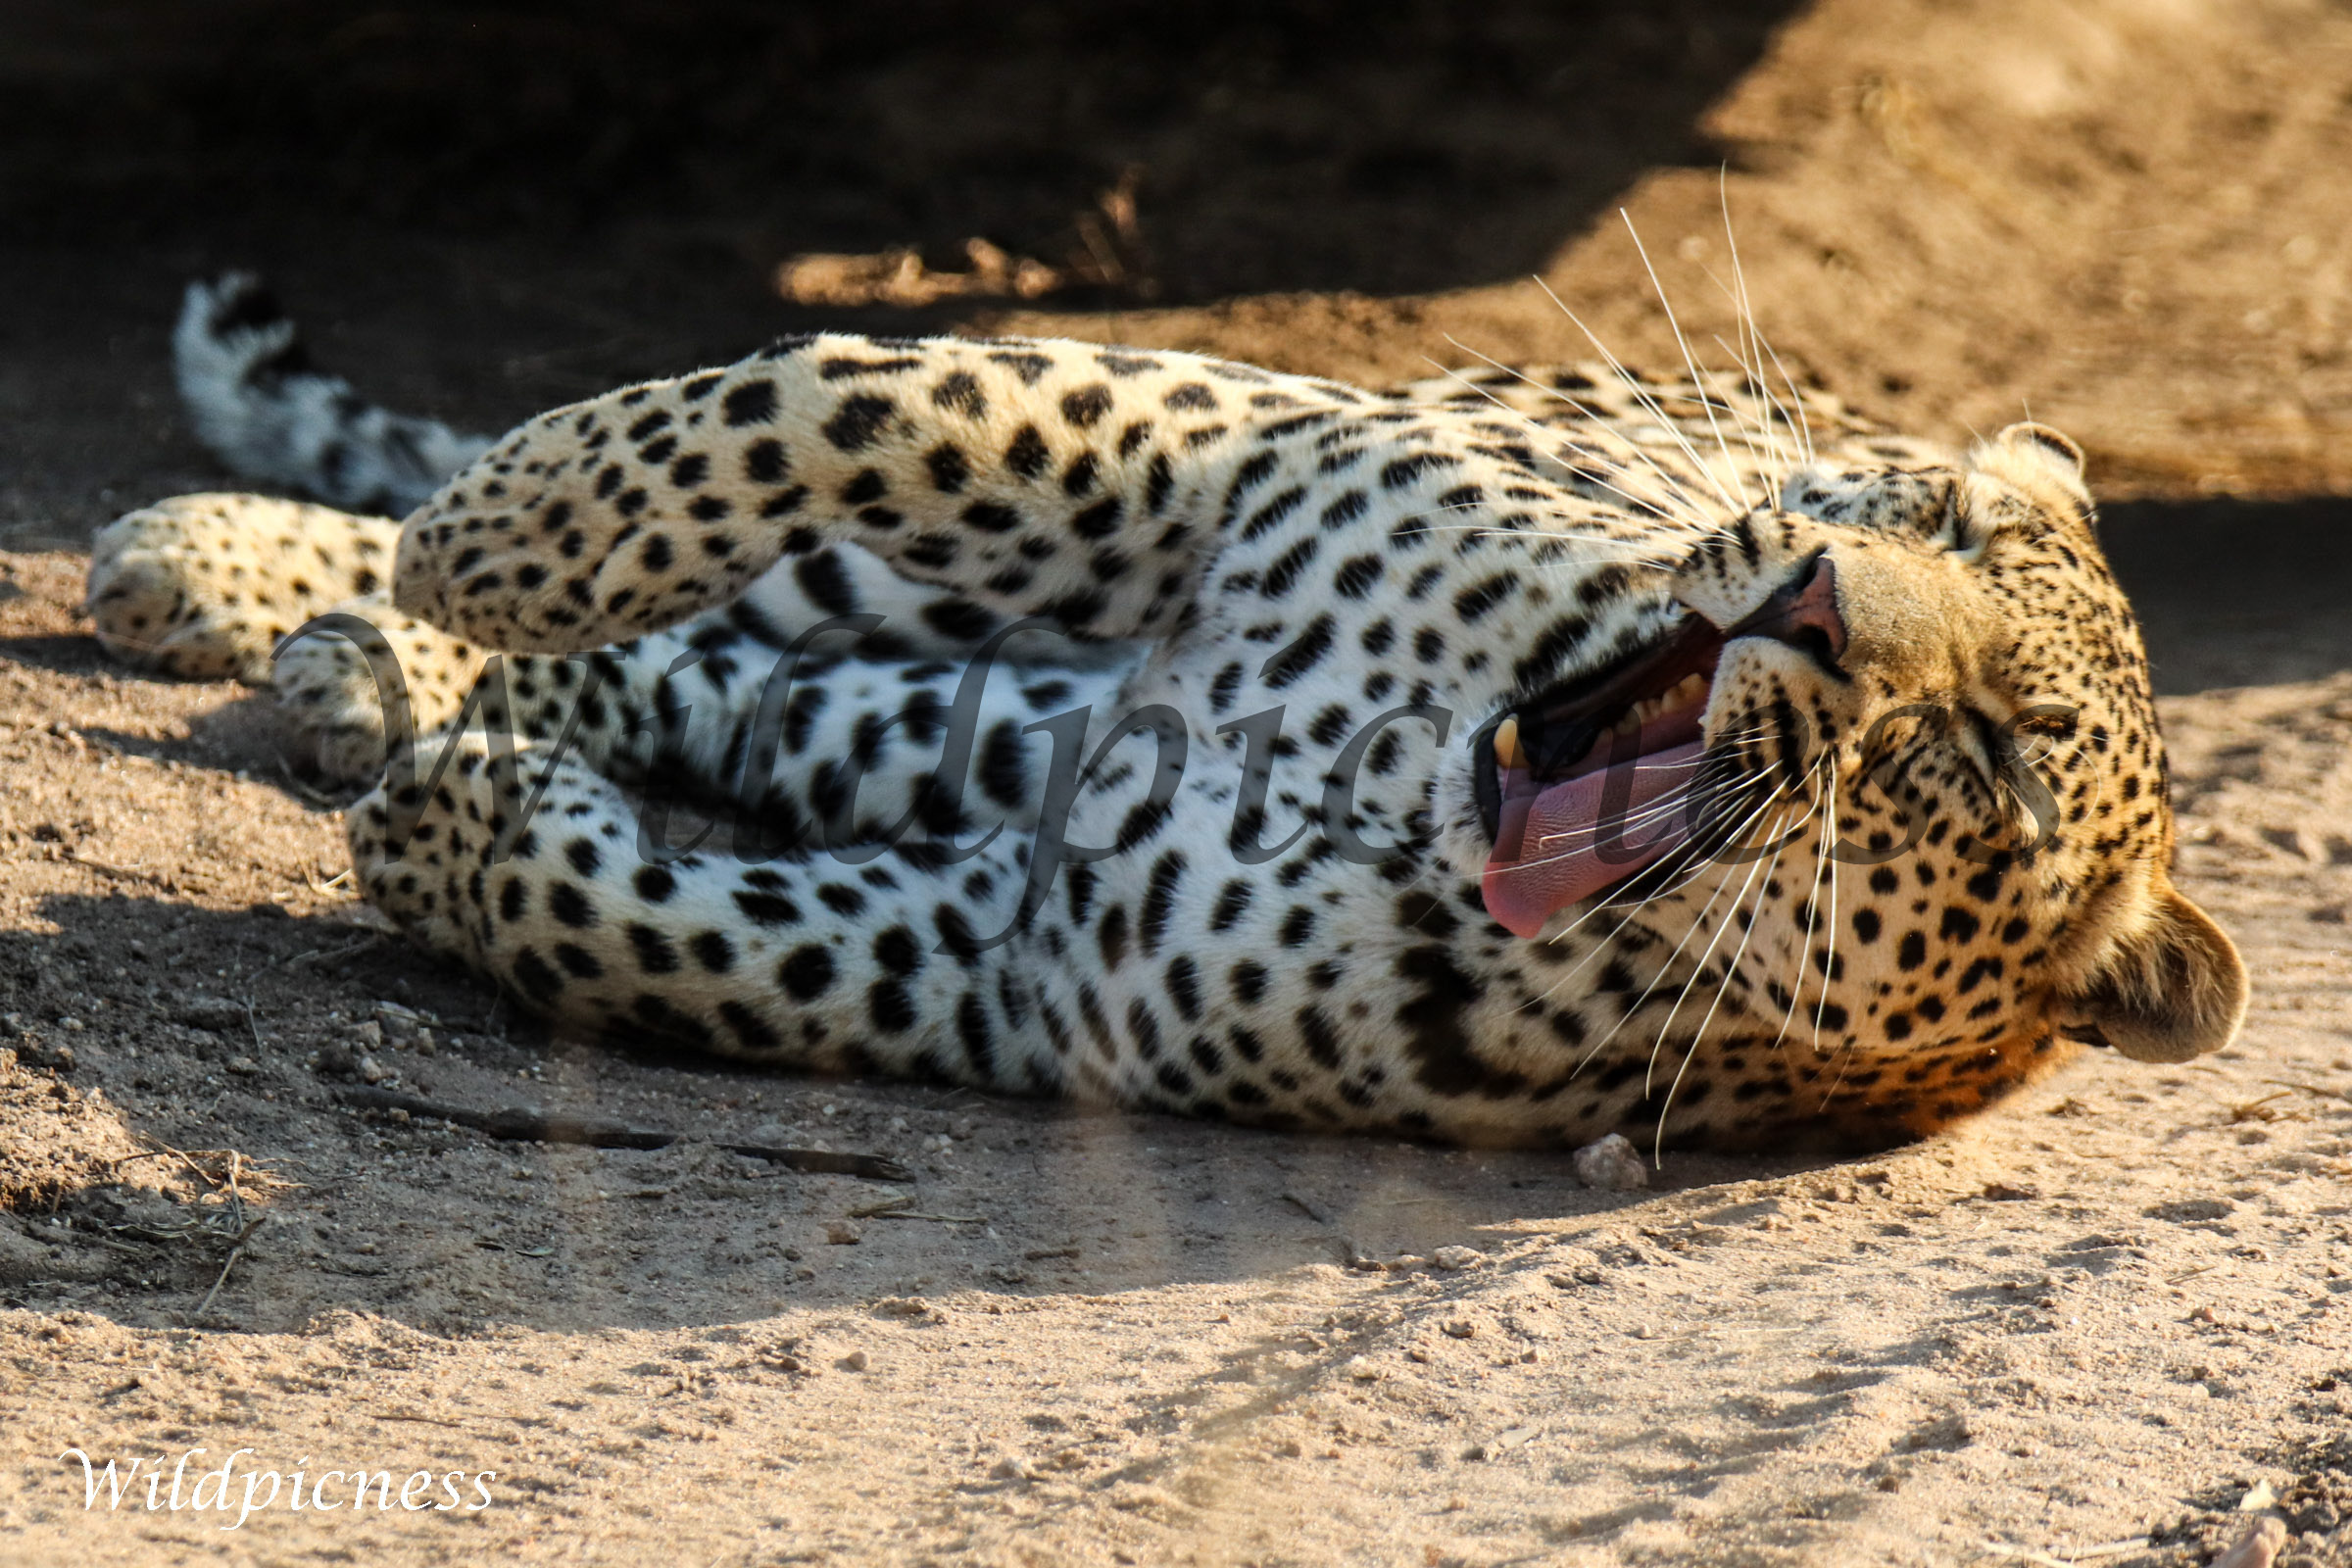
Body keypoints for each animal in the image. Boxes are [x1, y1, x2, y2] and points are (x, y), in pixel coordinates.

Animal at [81, 274, 2248, 1151]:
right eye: (1937, 513)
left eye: (1979, 759)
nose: (1812, 599)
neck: (1406, 768)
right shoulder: (1235, 440)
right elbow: (853, 402)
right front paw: (507, 527)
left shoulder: (1015, 959)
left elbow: (671, 936)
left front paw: (459, 826)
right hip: (963, 605)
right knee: (738, 598)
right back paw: (268, 573)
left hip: (950, 720)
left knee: (742, 690)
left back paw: (369, 682)